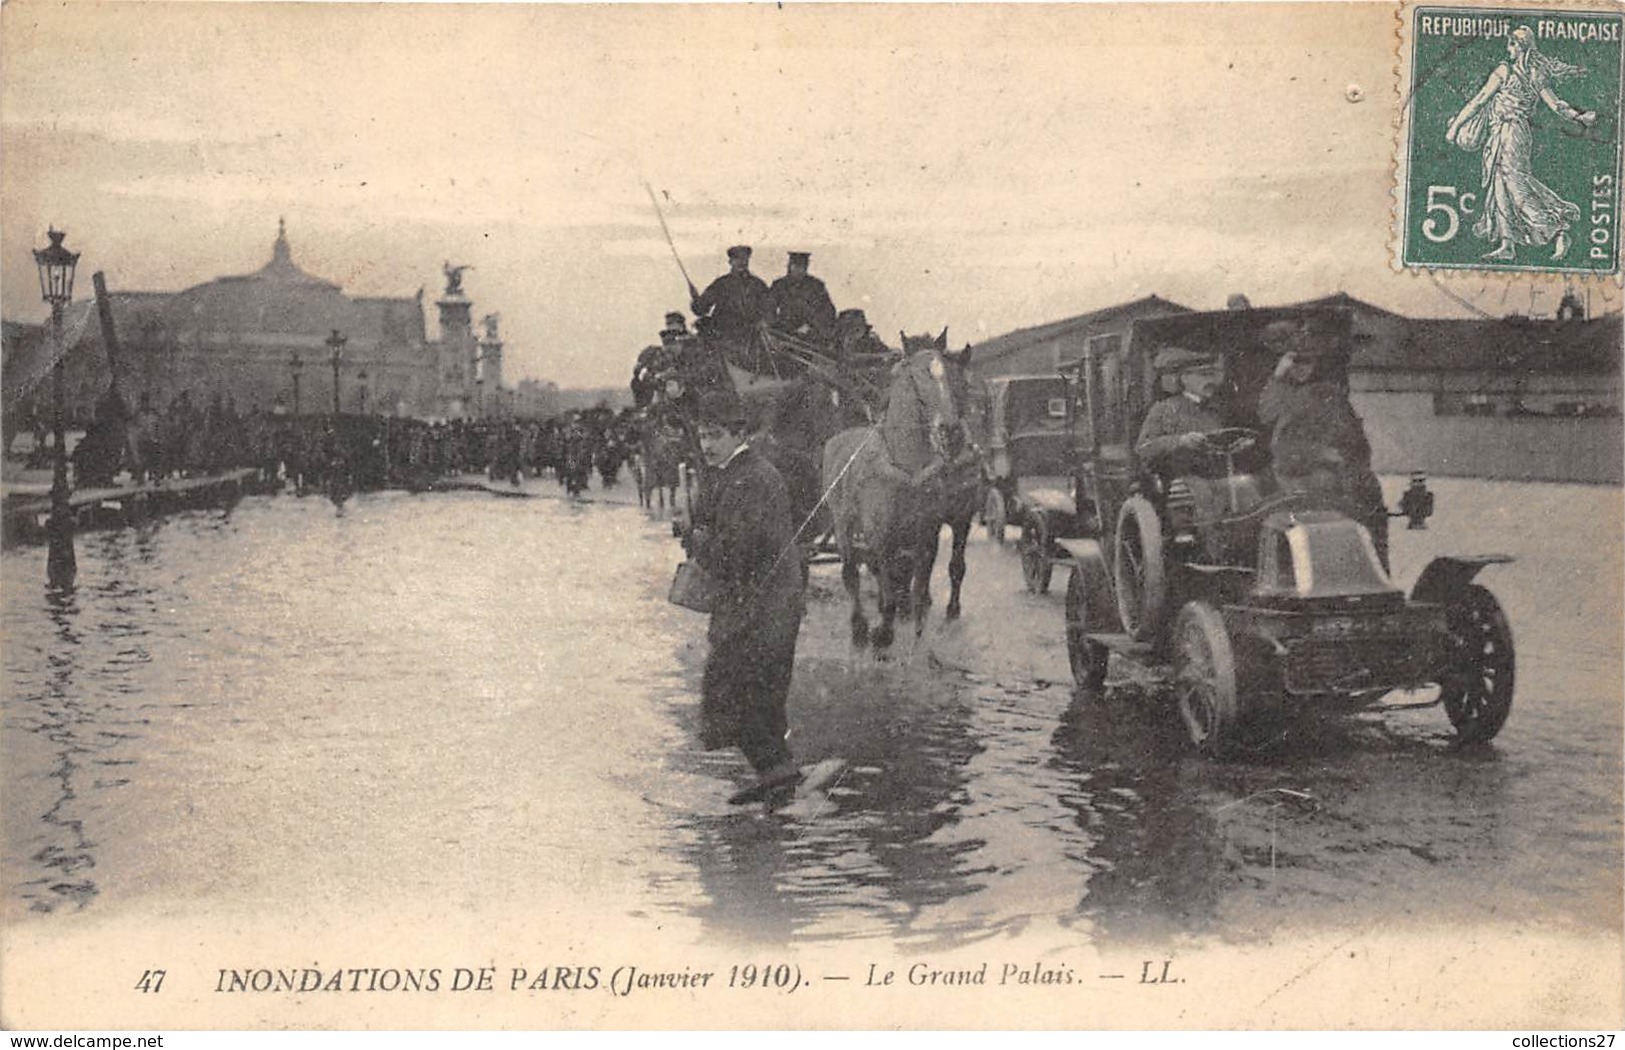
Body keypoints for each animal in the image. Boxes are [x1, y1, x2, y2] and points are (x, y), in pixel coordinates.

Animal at [825, 333, 975, 653]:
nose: (950, 429)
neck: (908, 467)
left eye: (951, 375)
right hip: (842, 524)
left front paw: (917, 636)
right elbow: (888, 583)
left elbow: (919, 587)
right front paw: (882, 635)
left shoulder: (929, 532)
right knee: (851, 574)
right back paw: (859, 629)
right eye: (915, 376)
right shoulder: (881, 534)